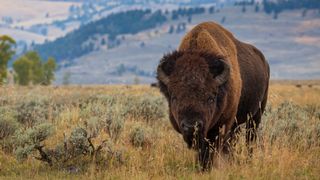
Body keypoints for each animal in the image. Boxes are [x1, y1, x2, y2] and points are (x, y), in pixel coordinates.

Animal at [156, 21, 268, 169]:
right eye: (174, 98)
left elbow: (211, 148)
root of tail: (264, 61)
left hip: (256, 114)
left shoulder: (222, 125)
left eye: (210, 98)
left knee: (250, 139)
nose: (191, 127)